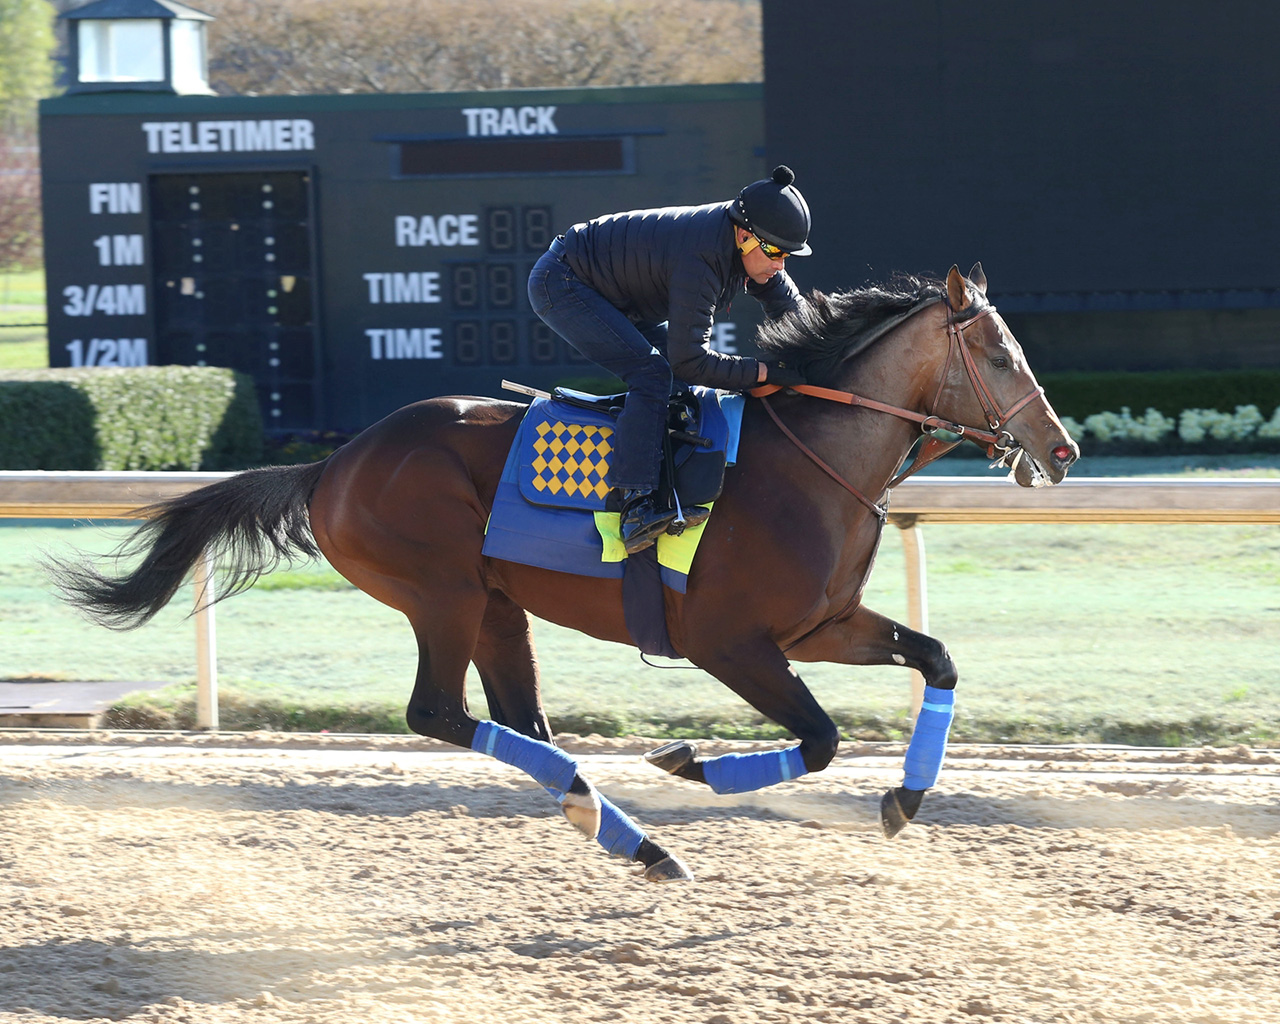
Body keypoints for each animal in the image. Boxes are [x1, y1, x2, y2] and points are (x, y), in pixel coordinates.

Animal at [49, 267, 1080, 885]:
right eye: (998, 352)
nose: (1062, 449)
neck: (812, 459)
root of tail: (335, 462)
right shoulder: (731, 644)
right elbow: (821, 739)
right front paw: (690, 760)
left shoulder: (823, 626)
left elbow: (937, 659)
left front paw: (906, 799)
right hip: (443, 592)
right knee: (438, 712)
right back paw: (638, 832)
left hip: (499, 606)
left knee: (522, 723)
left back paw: (625, 831)